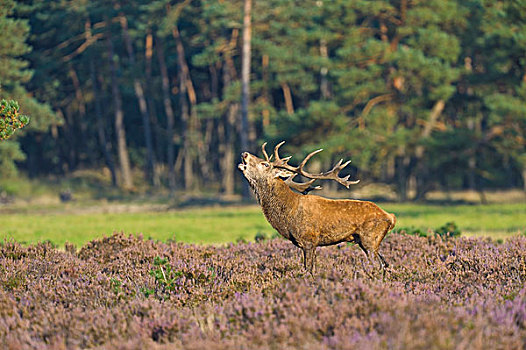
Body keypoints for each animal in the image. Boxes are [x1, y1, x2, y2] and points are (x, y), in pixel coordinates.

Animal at [239, 141, 396, 274]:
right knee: (385, 264)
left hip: (370, 239)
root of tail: (390, 217)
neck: (288, 214)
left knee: (378, 266)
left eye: (265, 164)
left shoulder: (309, 240)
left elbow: (308, 269)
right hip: (367, 242)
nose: (244, 154)